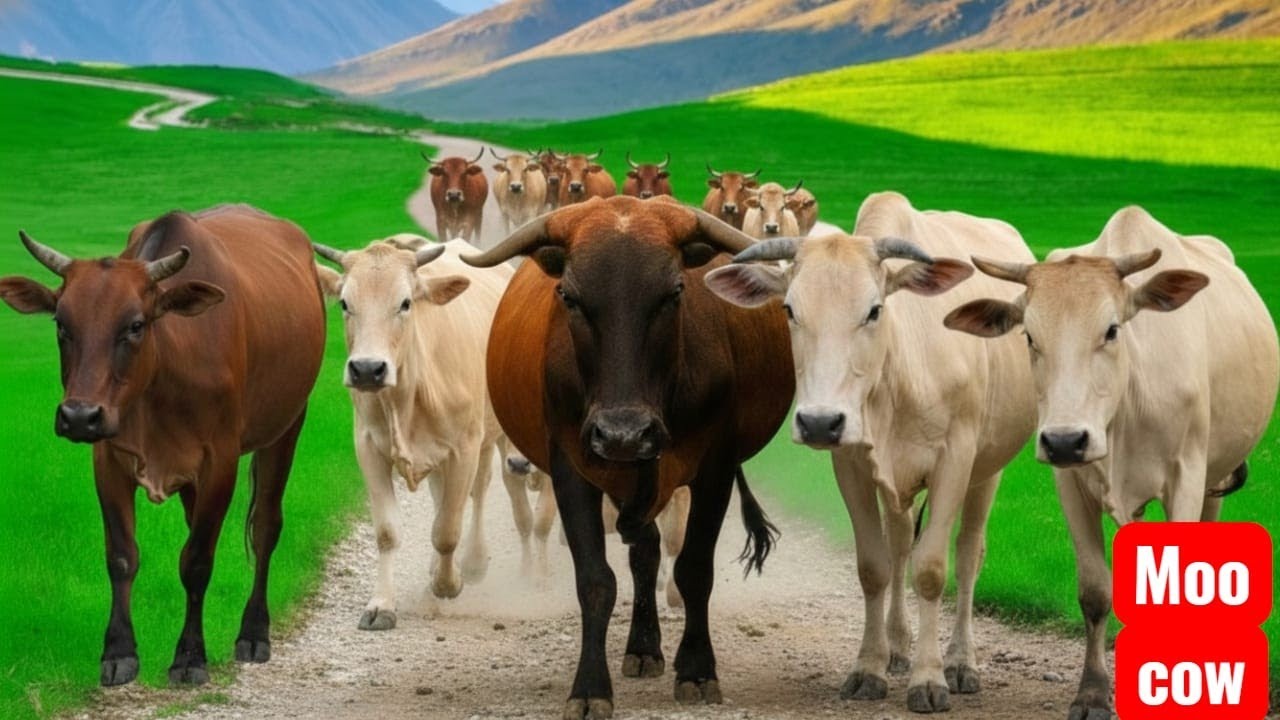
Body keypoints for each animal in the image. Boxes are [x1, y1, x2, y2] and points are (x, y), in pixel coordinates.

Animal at [0, 205, 326, 686]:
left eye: (135, 325)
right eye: (61, 323)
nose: (78, 416)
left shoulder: (220, 462)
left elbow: (196, 561)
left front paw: (190, 657)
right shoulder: (108, 458)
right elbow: (122, 556)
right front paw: (118, 652)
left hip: (288, 425)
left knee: (266, 525)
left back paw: (254, 633)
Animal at [311, 235, 552, 628]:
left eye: (406, 302)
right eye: (345, 303)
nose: (367, 369)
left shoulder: (464, 449)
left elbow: (447, 530)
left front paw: (448, 583)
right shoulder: (368, 449)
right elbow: (388, 532)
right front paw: (382, 604)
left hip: (485, 441)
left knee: (477, 494)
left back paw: (471, 563)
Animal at [461, 196, 795, 718]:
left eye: (674, 292)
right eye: (570, 297)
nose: (624, 434)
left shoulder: (715, 469)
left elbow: (694, 569)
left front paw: (697, 670)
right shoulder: (571, 469)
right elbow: (595, 580)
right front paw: (589, 686)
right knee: (645, 551)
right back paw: (642, 647)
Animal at [706, 191, 1037, 714]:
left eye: (875, 310)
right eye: (789, 309)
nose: (820, 422)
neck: (899, 371)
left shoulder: (954, 460)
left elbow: (932, 569)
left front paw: (930, 678)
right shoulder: (854, 465)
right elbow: (875, 567)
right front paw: (869, 667)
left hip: (988, 469)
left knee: (968, 553)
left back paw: (960, 660)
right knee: (900, 542)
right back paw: (898, 647)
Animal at [944, 206, 1280, 720]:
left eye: (1112, 330)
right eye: (1029, 336)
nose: (1065, 439)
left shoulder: (1186, 475)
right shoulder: (1070, 481)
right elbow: (1095, 591)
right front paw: (1093, 692)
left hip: (1215, 475)